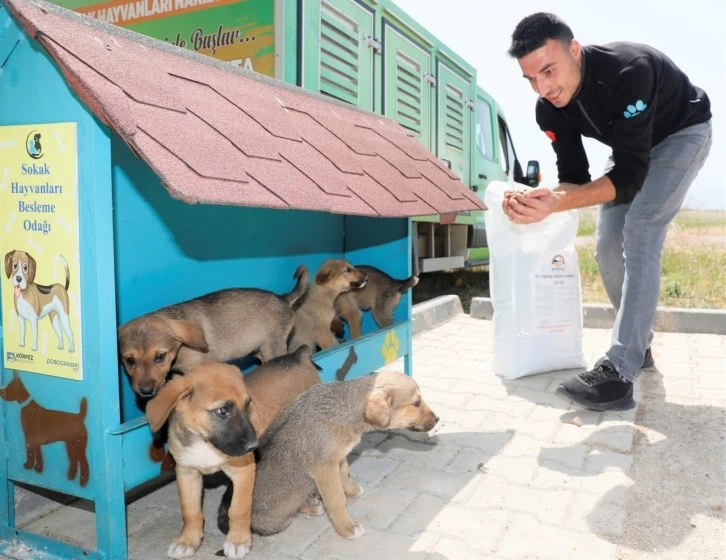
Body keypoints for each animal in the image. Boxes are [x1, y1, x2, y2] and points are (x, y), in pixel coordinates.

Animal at [119, 266, 308, 398]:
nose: (145, 391)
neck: (181, 348)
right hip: (258, 349)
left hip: (272, 349)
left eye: (160, 357)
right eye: (129, 360)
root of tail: (283, 298)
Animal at [145, 346, 322, 560]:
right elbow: (190, 510)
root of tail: (298, 355)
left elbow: (238, 509)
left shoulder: (244, 471)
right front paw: (187, 540)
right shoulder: (187, 472)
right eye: (223, 411)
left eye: (247, 405)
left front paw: (238, 541)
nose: (254, 446)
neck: (206, 443)